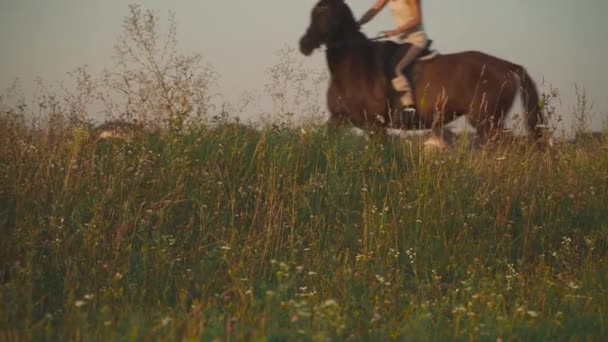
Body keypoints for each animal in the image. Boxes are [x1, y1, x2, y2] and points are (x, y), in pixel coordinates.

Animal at [302, 0, 544, 142]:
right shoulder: (337, 119)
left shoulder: (375, 126)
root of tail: (507, 65)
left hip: (488, 121)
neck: (354, 66)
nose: (304, 44)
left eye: (325, 15)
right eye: (312, 13)